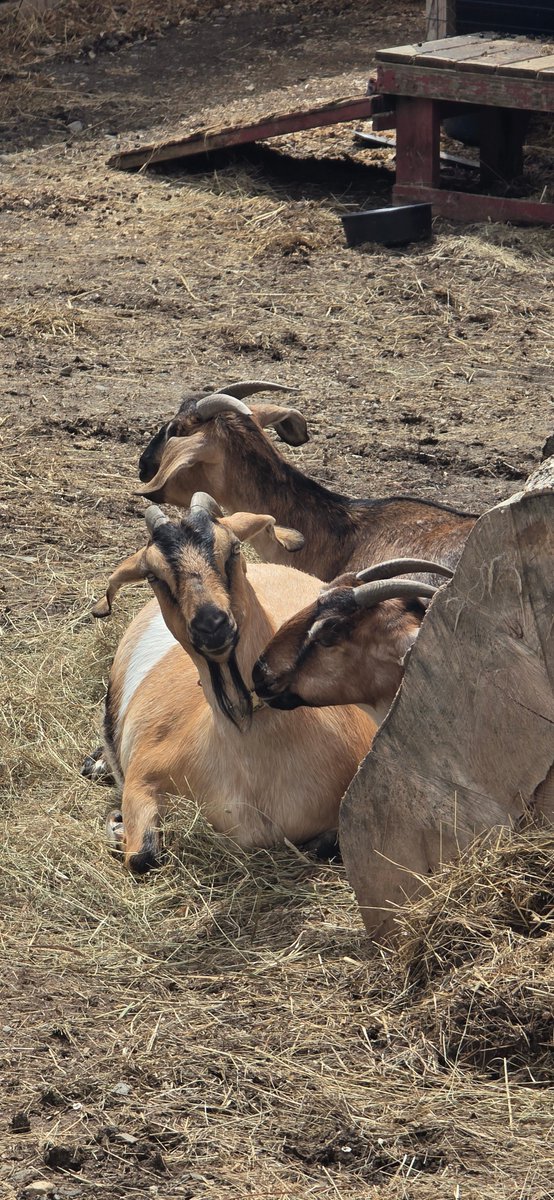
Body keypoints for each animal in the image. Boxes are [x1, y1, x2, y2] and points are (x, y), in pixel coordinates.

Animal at [91, 495, 375, 873]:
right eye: (153, 575)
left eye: (233, 548)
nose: (211, 624)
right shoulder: (142, 776)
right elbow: (142, 856)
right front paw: (118, 824)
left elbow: (327, 845)